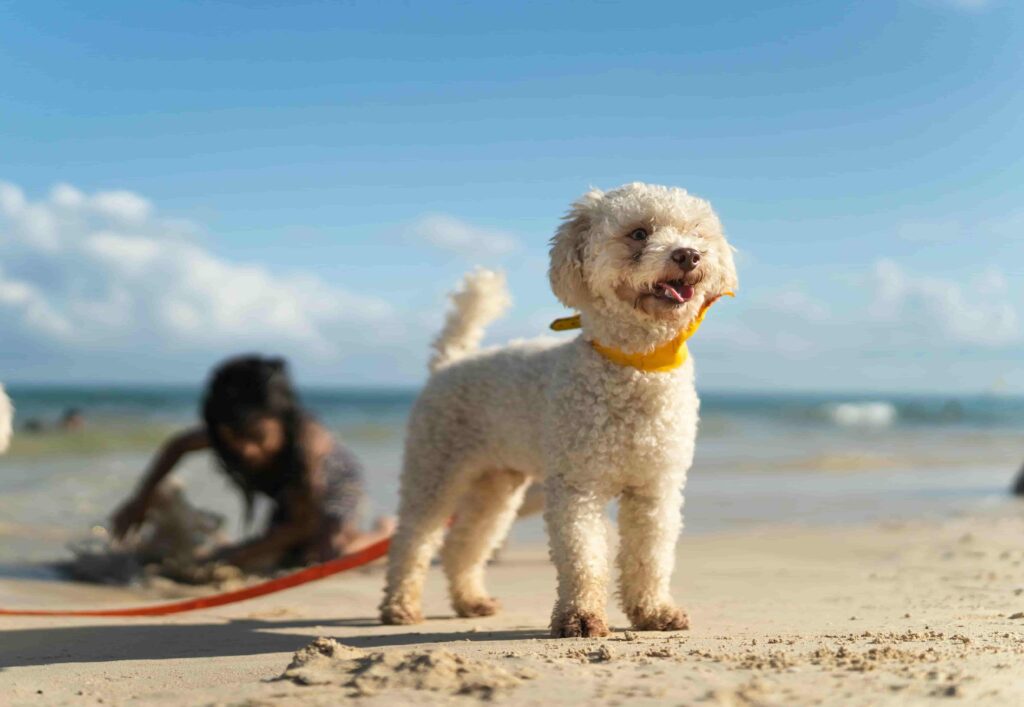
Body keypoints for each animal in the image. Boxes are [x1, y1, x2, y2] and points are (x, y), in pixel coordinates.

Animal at [380, 181, 733, 635]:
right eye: (639, 233)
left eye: (696, 232)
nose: (688, 255)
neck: (636, 364)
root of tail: (449, 362)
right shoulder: (577, 486)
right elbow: (583, 557)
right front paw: (580, 617)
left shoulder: (656, 488)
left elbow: (650, 556)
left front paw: (654, 611)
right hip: (435, 468)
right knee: (413, 537)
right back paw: (400, 605)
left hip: (497, 485)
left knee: (464, 542)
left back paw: (471, 600)